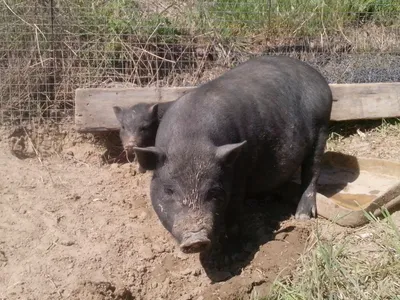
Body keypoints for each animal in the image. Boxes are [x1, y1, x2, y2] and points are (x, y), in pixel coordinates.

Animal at [133, 55, 332, 253]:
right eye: (169, 190)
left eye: (213, 191)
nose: (196, 240)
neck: (190, 140)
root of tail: (318, 77)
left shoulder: (239, 172)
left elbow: (234, 211)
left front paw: (231, 252)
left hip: (322, 128)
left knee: (312, 171)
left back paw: (302, 216)